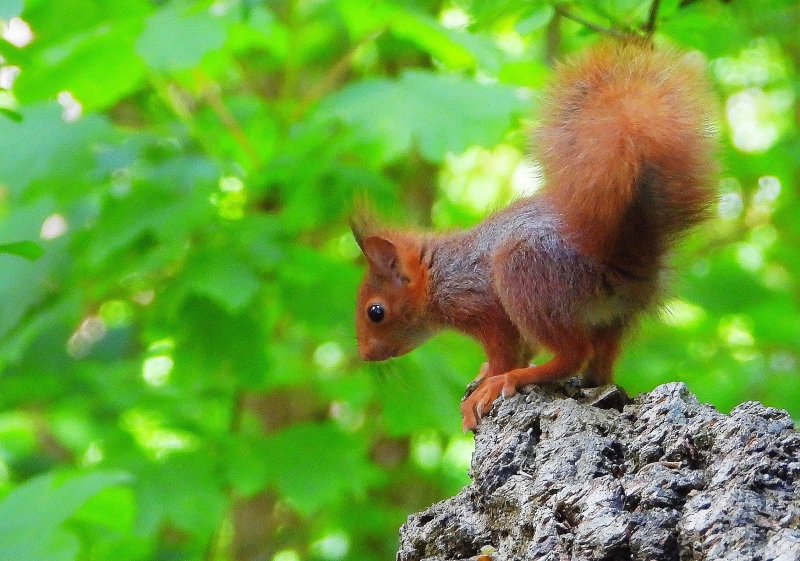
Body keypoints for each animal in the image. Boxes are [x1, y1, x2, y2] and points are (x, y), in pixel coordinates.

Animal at [350, 41, 720, 430]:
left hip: (527, 280)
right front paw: (485, 371)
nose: (366, 354)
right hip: (611, 320)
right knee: (599, 367)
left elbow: (505, 352)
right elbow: (520, 350)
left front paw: (491, 379)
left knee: (573, 354)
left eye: (376, 312)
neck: (440, 273)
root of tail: (622, 261)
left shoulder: (482, 308)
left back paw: (515, 379)